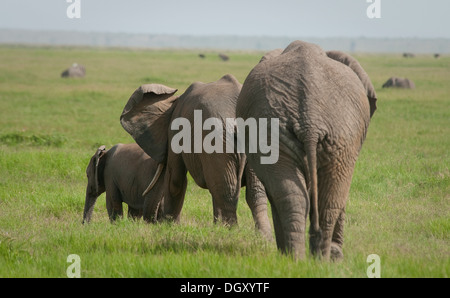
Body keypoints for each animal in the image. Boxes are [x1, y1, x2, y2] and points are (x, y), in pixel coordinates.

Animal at [119, 74, 272, 240]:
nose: (153, 223)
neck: (173, 102)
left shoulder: (175, 129)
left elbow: (175, 179)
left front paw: (169, 226)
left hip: (218, 141)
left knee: (227, 190)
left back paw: (230, 233)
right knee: (253, 192)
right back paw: (263, 236)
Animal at [237, 40, 378, 260]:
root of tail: (310, 121)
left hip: (335, 136)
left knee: (313, 197)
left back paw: (304, 259)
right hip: (292, 133)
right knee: (315, 197)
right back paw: (308, 258)